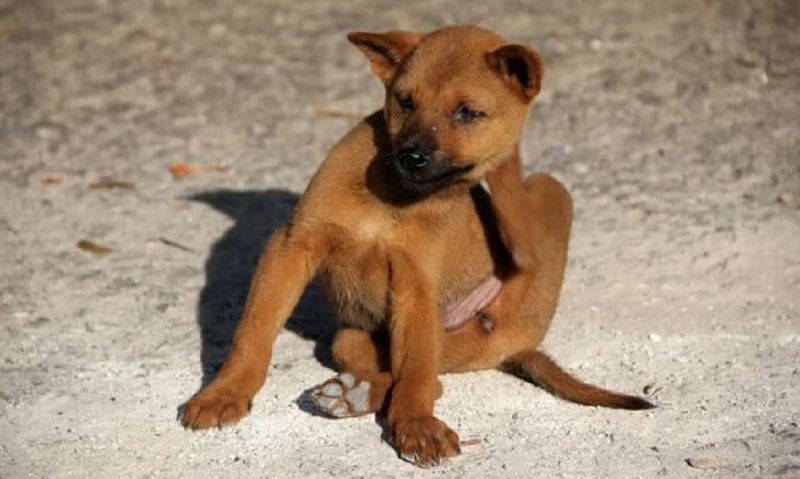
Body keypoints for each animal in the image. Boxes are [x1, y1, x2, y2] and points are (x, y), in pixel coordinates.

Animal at [178, 25, 652, 468]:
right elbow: (253, 333)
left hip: (546, 196)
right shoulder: (292, 245)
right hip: (351, 337)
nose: (412, 156)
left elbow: (417, 374)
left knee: (429, 375)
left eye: (467, 112)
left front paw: (416, 425)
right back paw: (352, 391)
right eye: (405, 102)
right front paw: (223, 393)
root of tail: (519, 345)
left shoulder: (415, 287)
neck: (394, 198)